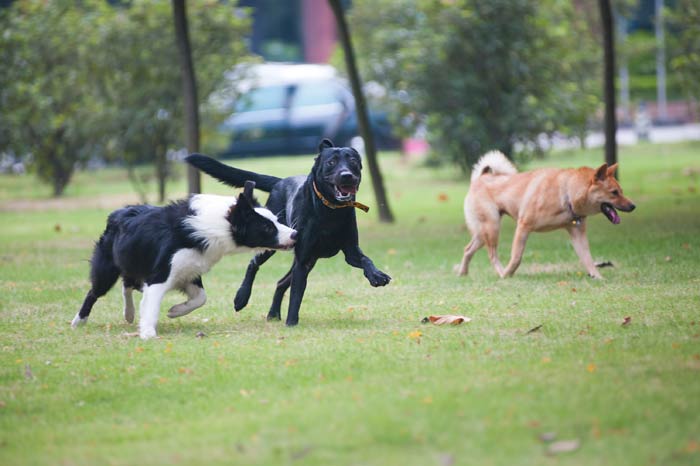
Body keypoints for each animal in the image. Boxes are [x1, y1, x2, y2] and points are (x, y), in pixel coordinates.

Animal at [72, 182, 296, 338]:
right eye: (267, 227)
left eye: (276, 220)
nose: (295, 234)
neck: (214, 226)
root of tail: (117, 212)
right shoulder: (160, 275)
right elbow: (152, 304)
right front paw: (148, 333)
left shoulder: (189, 270)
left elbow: (201, 298)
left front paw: (175, 311)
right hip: (107, 270)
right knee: (94, 292)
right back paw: (79, 320)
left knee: (128, 284)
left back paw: (129, 313)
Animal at [186, 139, 392, 328]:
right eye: (331, 162)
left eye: (354, 161)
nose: (346, 175)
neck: (330, 210)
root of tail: (280, 182)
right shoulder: (303, 259)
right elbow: (296, 295)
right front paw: (291, 323)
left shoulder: (350, 251)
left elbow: (365, 260)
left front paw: (377, 275)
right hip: (273, 242)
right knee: (254, 264)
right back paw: (241, 297)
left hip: (308, 259)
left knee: (281, 282)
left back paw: (273, 314)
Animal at [456, 151, 636, 278]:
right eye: (614, 193)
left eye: (621, 191)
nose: (633, 206)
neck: (566, 193)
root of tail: (481, 177)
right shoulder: (523, 226)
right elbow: (516, 257)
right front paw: (508, 274)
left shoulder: (578, 234)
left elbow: (588, 259)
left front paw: (598, 277)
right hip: (492, 228)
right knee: (492, 254)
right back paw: (501, 273)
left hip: (483, 232)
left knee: (467, 249)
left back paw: (462, 273)